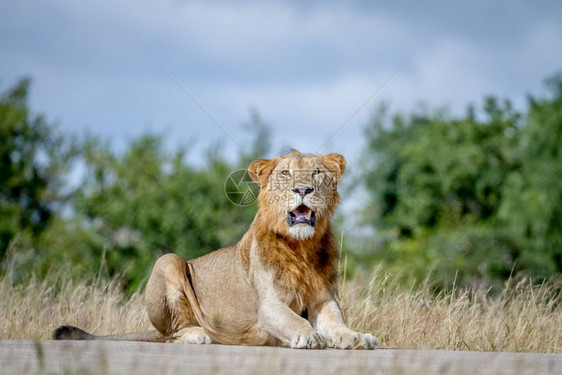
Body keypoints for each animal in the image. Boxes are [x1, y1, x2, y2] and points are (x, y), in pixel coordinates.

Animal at [53, 149, 376, 350]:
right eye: (285, 174)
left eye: (317, 172)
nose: (303, 190)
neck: (302, 247)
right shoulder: (268, 306)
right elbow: (293, 319)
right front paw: (308, 337)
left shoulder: (324, 299)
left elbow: (337, 324)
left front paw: (357, 338)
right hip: (169, 261)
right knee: (171, 334)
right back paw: (201, 334)